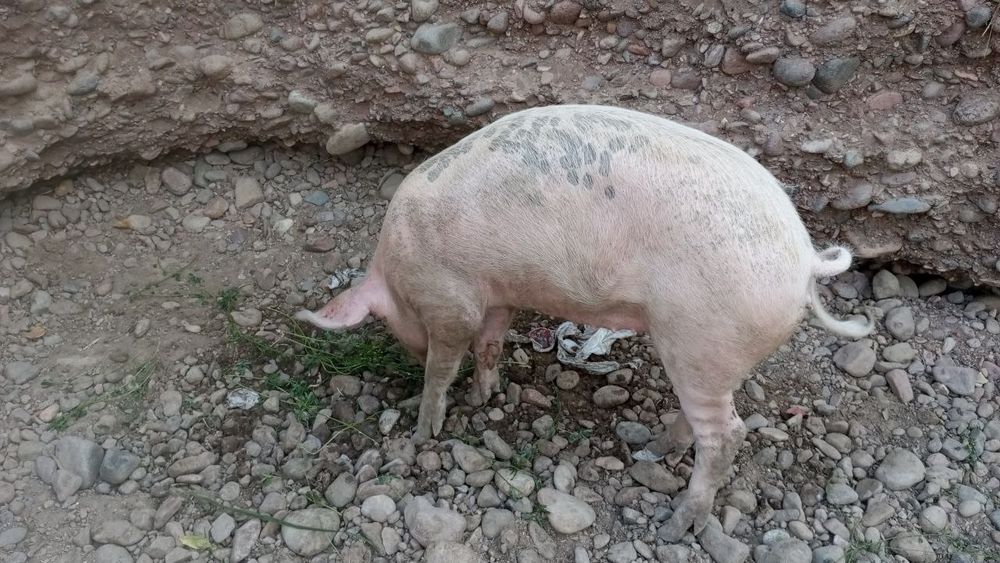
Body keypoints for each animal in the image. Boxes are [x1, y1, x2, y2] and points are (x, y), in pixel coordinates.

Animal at [295, 104, 874, 541]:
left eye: (396, 324)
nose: (409, 353)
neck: (397, 267)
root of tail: (806, 260)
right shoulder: (499, 294)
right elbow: (490, 344)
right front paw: (485, 396)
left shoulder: (449, 298)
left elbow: (446, 363)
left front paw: (423, 430)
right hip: (706, 353)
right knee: (706, 419)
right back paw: (651, 444)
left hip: (701, 338)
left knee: (727, 434)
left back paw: (675, 525)